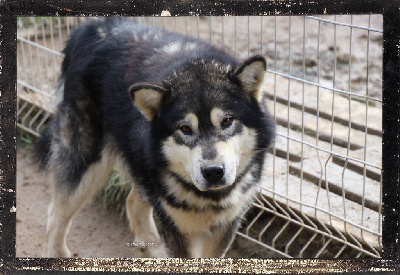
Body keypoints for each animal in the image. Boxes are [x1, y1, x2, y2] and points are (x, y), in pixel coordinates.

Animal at [36, 18, 276, 260]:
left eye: (227, 121)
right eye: (185, 128)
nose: (213, 172)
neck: (208, 199)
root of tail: (91, 27)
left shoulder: (225, 226)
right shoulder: (176, 228)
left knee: (131, 202)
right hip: (86, 167)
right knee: (54, 216)